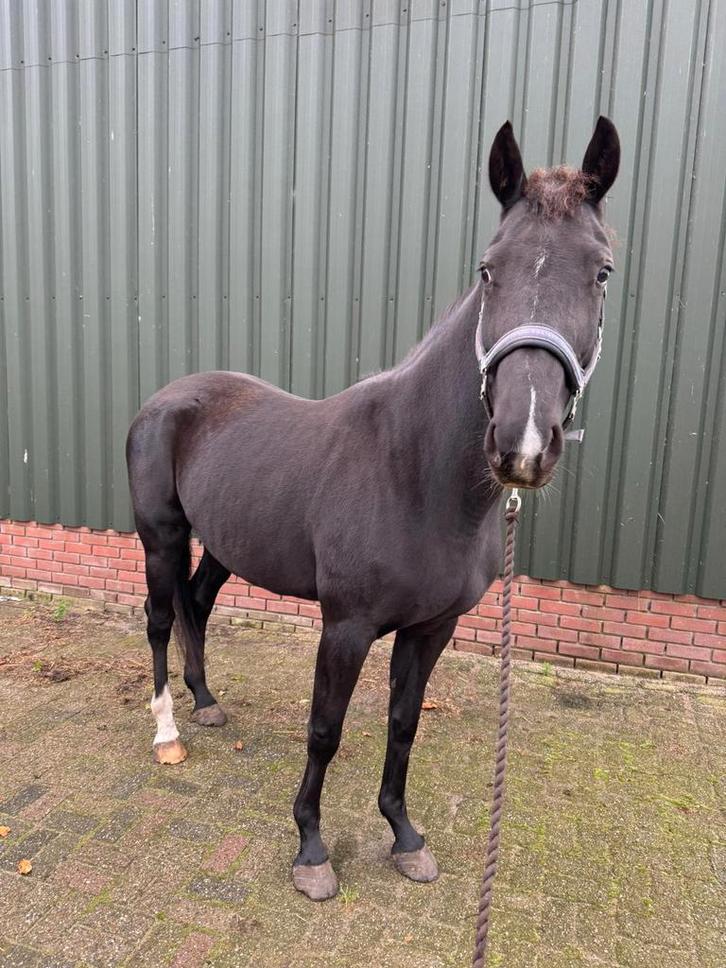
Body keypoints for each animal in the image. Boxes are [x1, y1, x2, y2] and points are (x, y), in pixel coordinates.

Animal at [127, 117, 620, 901]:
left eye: (601, 271)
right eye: (489, 269)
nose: (523, 440)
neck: (414, 472)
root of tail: (168, 397)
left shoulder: (431, 629)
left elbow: (403, 724)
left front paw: (405, 836)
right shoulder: (347, 627)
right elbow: (325, 730)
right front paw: (311, 849)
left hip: (226, 545)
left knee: (196, 606)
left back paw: (207, 704)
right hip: (160, 537)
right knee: (157, 618)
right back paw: (169, 733)